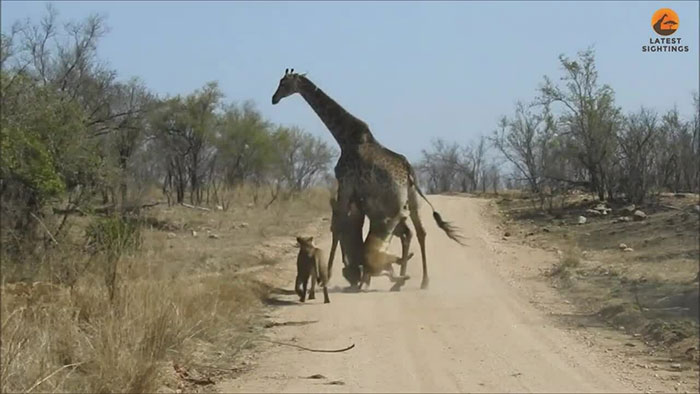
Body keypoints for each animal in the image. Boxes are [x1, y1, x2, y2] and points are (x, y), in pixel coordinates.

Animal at [272, 68, 464, 290]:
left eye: (284, 83)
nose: (274, 99)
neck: (345, 137)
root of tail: (408, 171)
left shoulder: (345, 183)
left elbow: (338, 226)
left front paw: (331, 274)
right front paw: (357, 274)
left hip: (394, 203)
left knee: (406, 232)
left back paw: (397, 279)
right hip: (412, 198)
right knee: (420, 231)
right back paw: (420, 280)